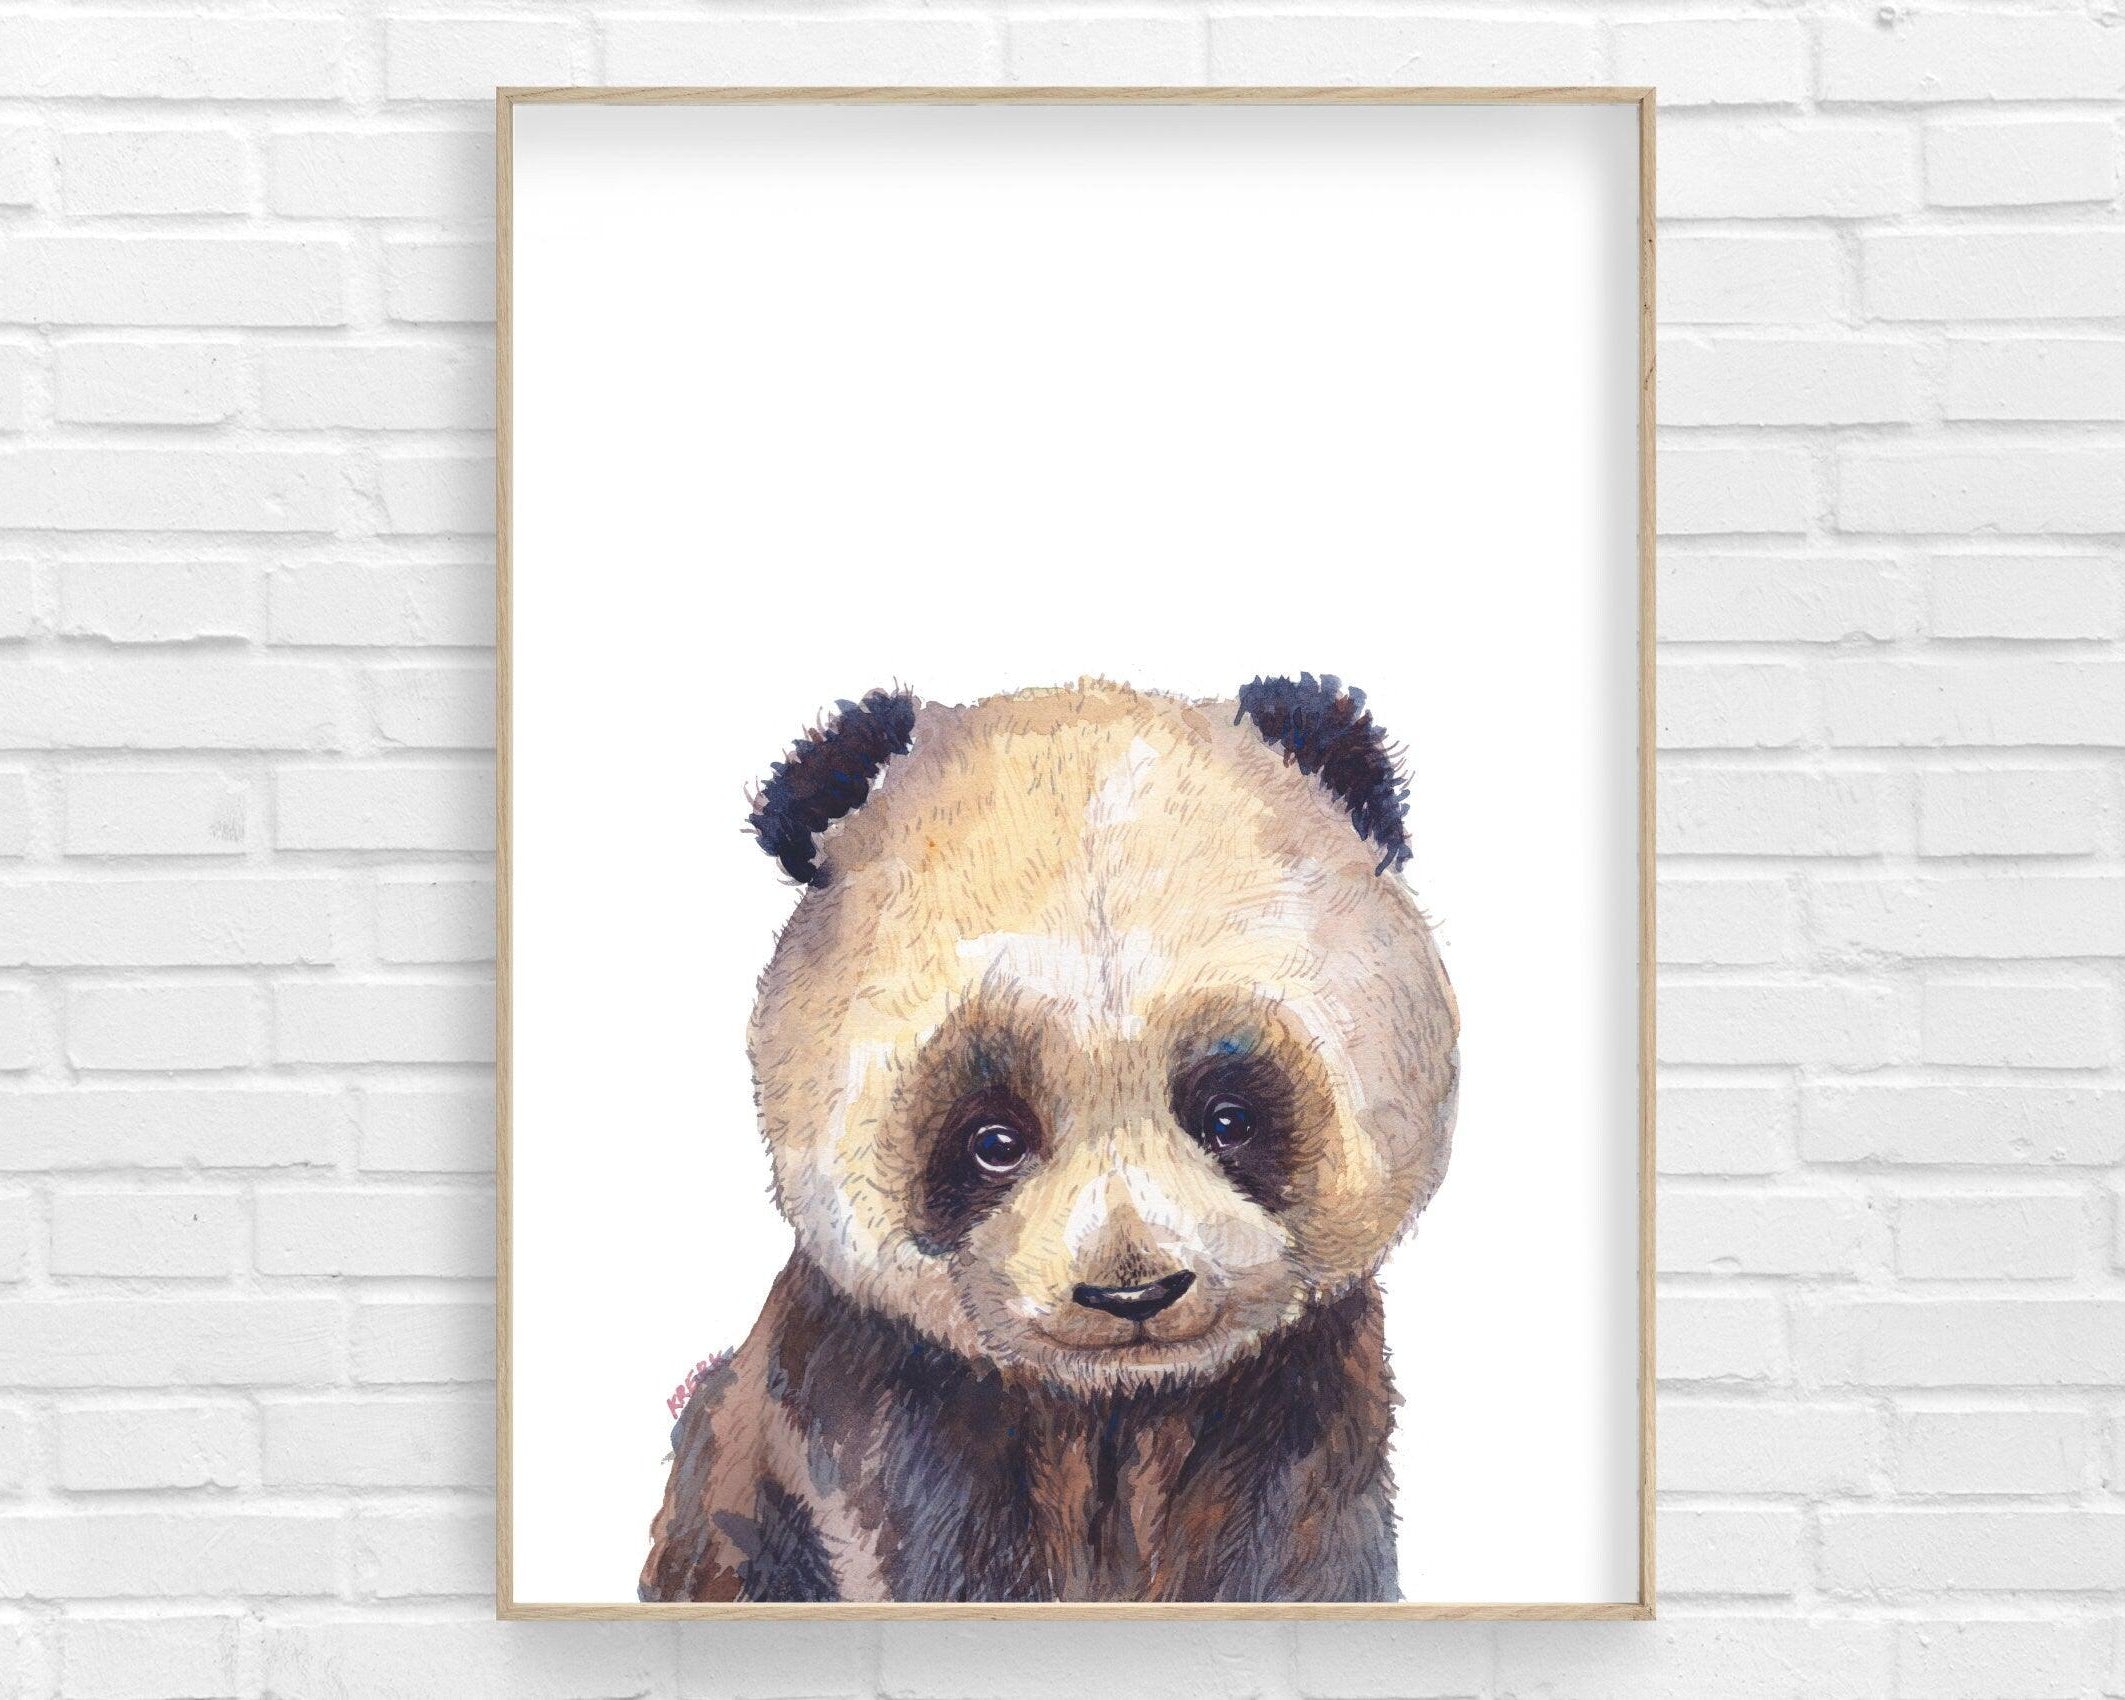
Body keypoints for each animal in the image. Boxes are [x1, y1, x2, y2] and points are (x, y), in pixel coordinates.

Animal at [640, 676, 1460, 1604]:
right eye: (993, 1139)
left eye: (1228, 1118)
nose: (1133, 1294)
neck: (1117, 1409)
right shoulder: (883, 1410)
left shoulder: (1297, 1405)